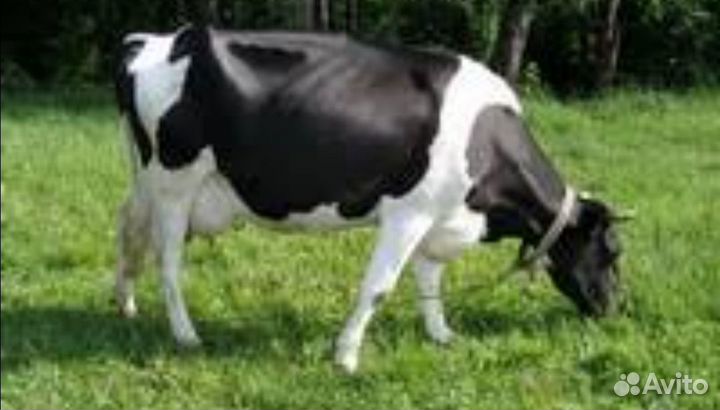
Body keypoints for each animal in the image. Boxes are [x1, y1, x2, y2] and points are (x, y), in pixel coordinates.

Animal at [114, 25, 623, 373]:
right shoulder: (408, 212)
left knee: (129, 229)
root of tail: (160, 38)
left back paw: (125, 303)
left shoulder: (437, 216)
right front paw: (346, 356)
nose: (616, 308)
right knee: (168, 262)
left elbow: (430, 280)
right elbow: (379, 287)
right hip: (176, 184)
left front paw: (441, 335)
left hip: (148, 181)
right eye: (612, 251)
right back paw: (186, 335)